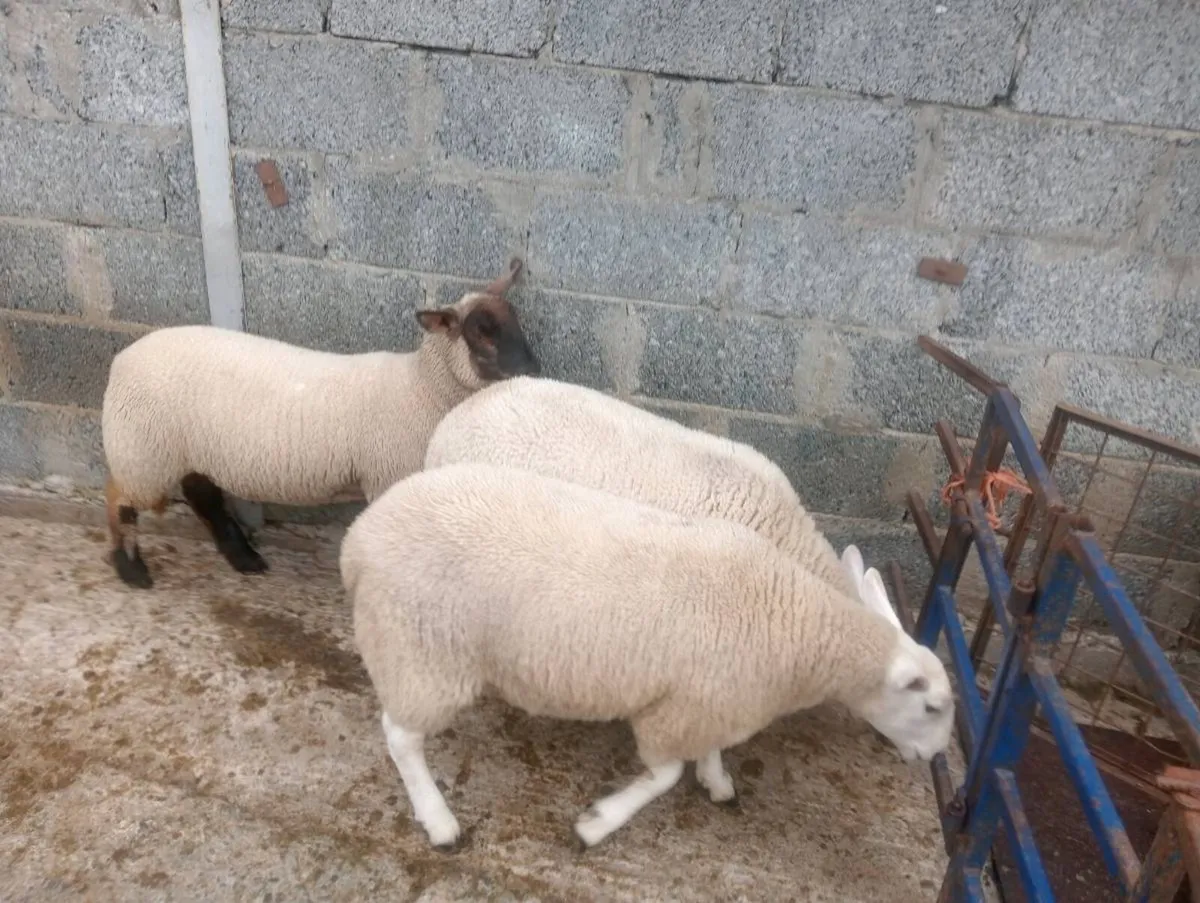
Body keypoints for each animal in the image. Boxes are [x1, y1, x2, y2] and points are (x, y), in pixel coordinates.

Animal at [101, 258, 539, 590]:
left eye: (517, 322)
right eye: (481, 332)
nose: (533, 370)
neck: (422, 387)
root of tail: (121, 360)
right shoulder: (388, 475)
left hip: (184, 449)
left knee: (201, 495)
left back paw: (244, 559)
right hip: (143, 451)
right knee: (120, 500)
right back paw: (132, 570)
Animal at [342, 462, 955, 851]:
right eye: (929, 708)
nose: (932, 760)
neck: (796, 622)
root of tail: (359, 538)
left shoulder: (710, 698)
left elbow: (704, 754)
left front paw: (717, 780)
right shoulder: (678, 709)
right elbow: (664, 775)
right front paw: (597, 824)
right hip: (420, 649)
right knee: (401, 737)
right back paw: (440, 822)